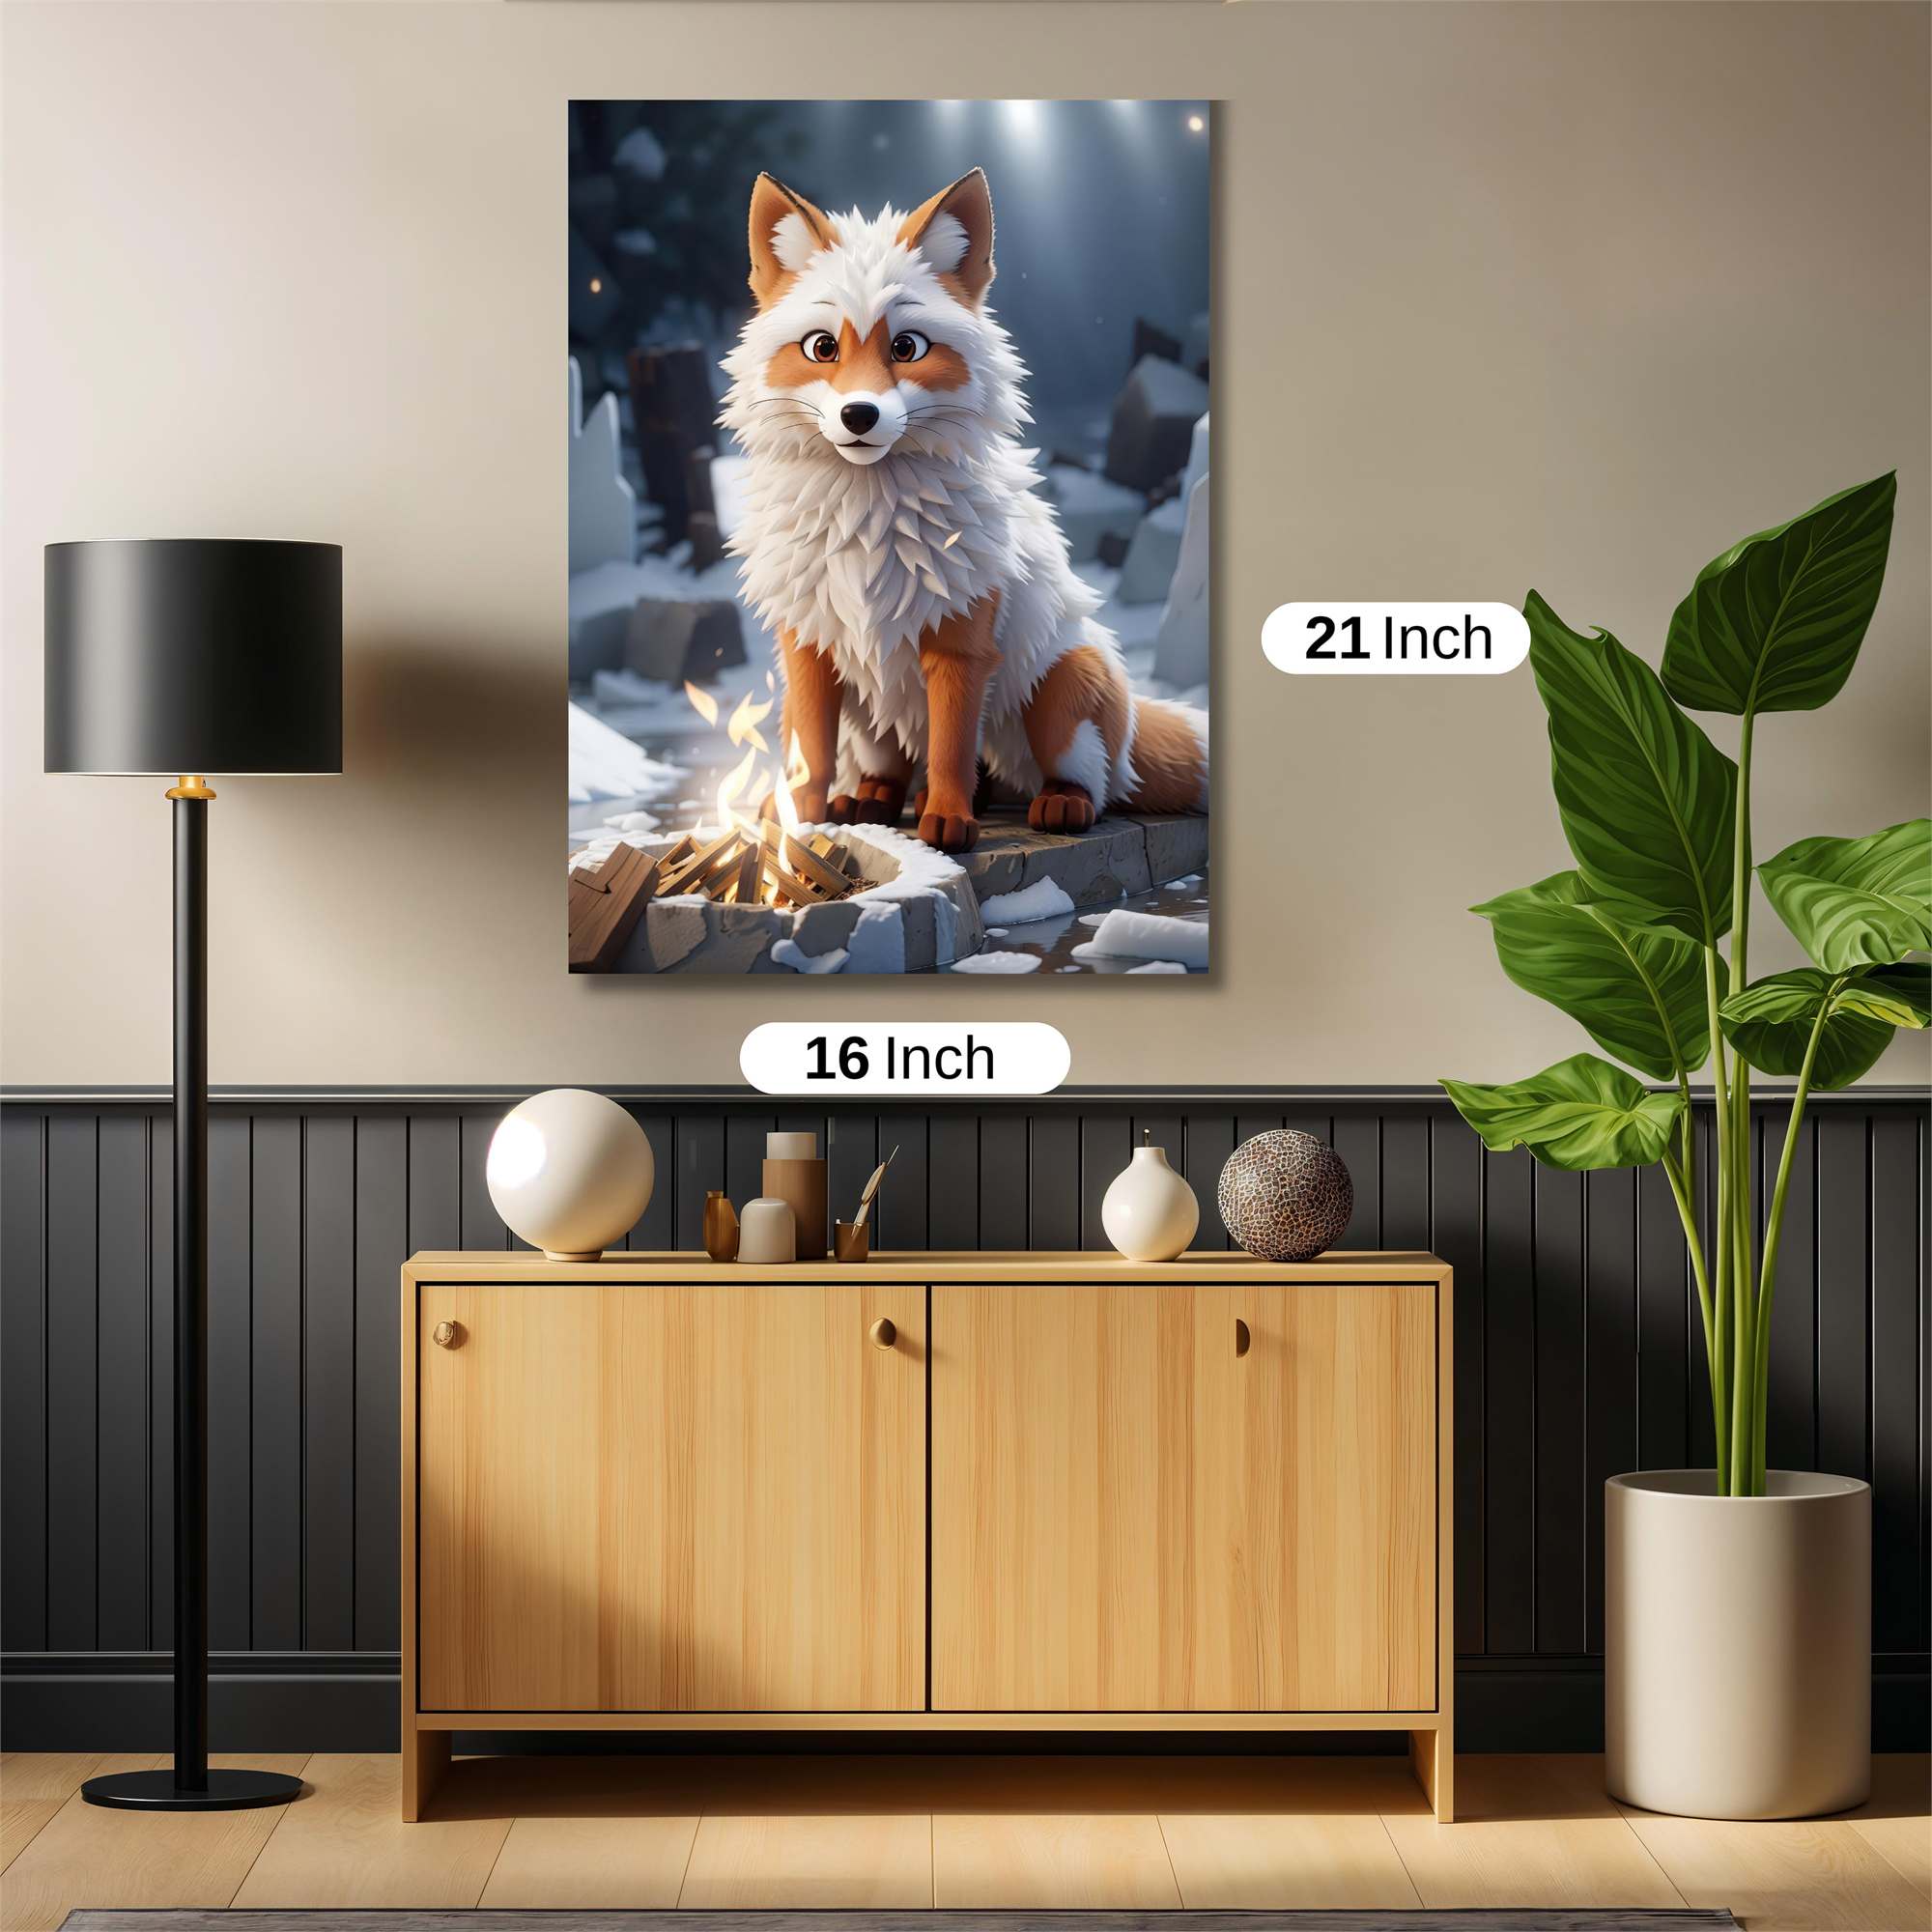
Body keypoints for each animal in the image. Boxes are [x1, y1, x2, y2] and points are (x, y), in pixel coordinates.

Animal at [719, 167, 1208, 854]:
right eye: (821, 348)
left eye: (907, 346)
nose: (859, 415)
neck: (866, 531)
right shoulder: (810, 641)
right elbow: (809, 744)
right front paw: (799, 811)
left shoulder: (961, 637)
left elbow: (952, 744)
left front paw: (948, 822)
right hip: (873, 714)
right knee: (892, 765)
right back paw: (869, 799)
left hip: (1062, 689)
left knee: (1075, 779)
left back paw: (1054, 803)